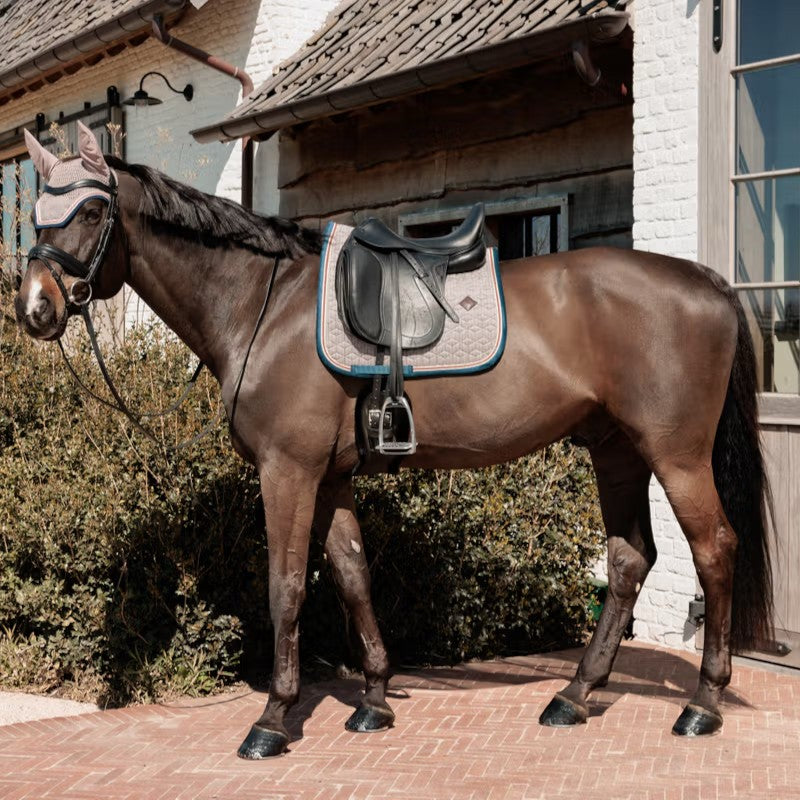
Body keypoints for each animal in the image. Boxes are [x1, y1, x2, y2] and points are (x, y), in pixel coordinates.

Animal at [15, 122, 772, 758]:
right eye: (35, 214)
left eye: (90, 212)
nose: (35, 309)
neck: (266, 305)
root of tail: (706, 281)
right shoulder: (330, 476)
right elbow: (353, 576)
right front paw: (375, 700)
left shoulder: (287, 471)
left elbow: (286, 588)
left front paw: (273, 719)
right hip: (616, 452)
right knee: (628, 560)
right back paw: (574, 695)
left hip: (676, 455)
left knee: (714, 550)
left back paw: (701, 706)